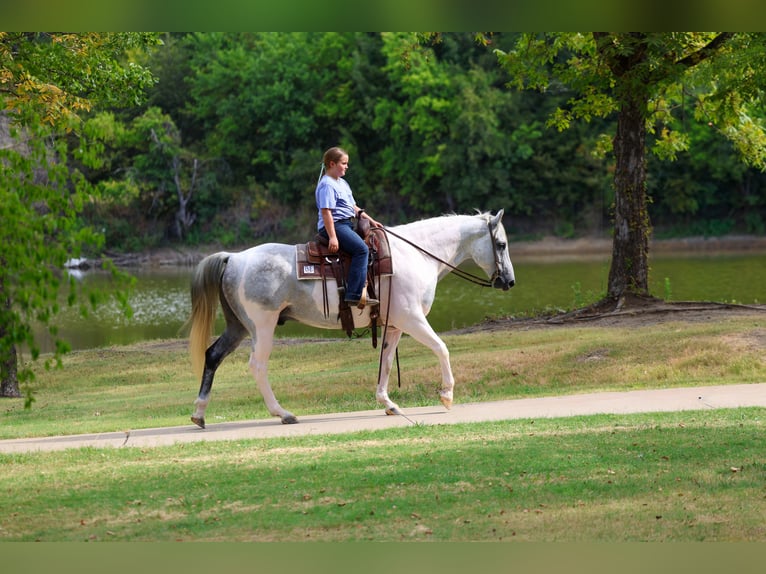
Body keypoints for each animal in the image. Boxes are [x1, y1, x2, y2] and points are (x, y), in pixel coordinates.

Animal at [187, 210, 515, 428]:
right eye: (501, 245)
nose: (509, 281)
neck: (416, 255)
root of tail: (233, 258)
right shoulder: (412, 319)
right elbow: (441, 348)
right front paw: (446, 395)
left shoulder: (394, 324)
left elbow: (385, 362)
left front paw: (388, 403)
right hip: (262, 326)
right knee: (257, 366)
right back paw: (283, 413)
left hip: (238, 326)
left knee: (213, 355)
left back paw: (200, 414)